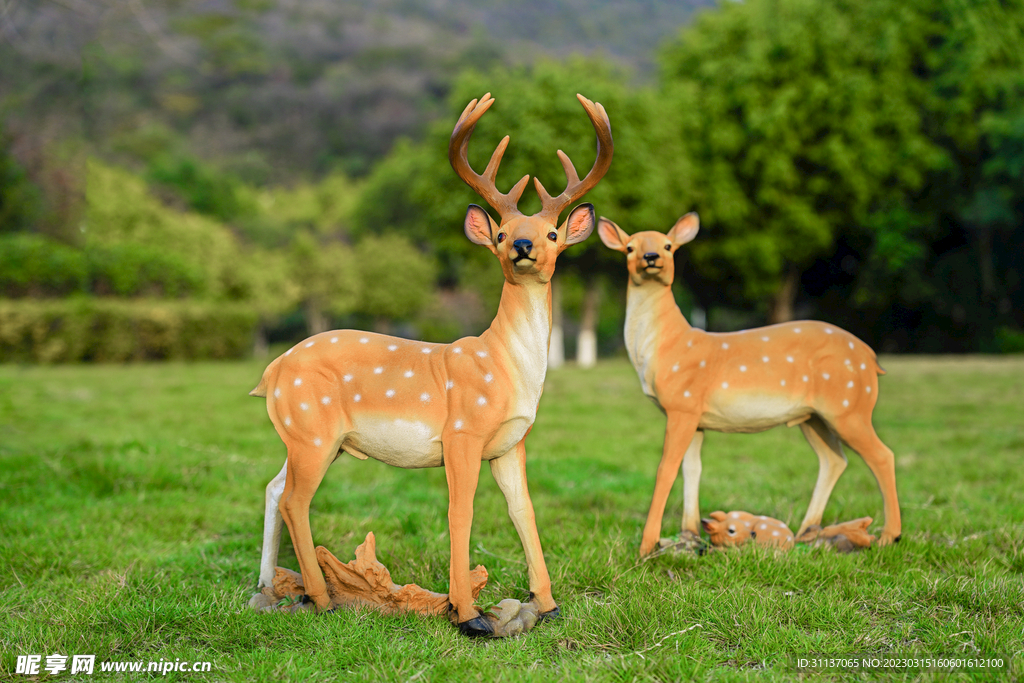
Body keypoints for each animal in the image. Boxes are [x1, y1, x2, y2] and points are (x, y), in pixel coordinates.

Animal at [250, 93, 610, 638]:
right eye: (502, 233)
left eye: (552, 232)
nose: (523, 247)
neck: (505, 367)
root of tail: (271, 373)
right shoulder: (461, 432)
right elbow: (460, 512)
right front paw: (469, 615)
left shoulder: (513, 441)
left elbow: (523, 511)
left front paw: (547, 604)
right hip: (312, 430)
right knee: (295, 499)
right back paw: (321, 599)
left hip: (309, 436)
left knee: (274, 488)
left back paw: (270, 588)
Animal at [598, 214, 901, 557]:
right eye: (630, 247)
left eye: (668, 245)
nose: (651, 258)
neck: (665, 348)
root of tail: (872, 360)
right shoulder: (695, 417)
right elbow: (692, 469)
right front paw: (689, 535)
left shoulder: (682, 404)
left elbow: (666, 468)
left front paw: (647, 546)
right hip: (813, 416)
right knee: (834, 459)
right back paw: (807, 533)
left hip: (849, 406)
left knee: (882, 455)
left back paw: (889, 537)